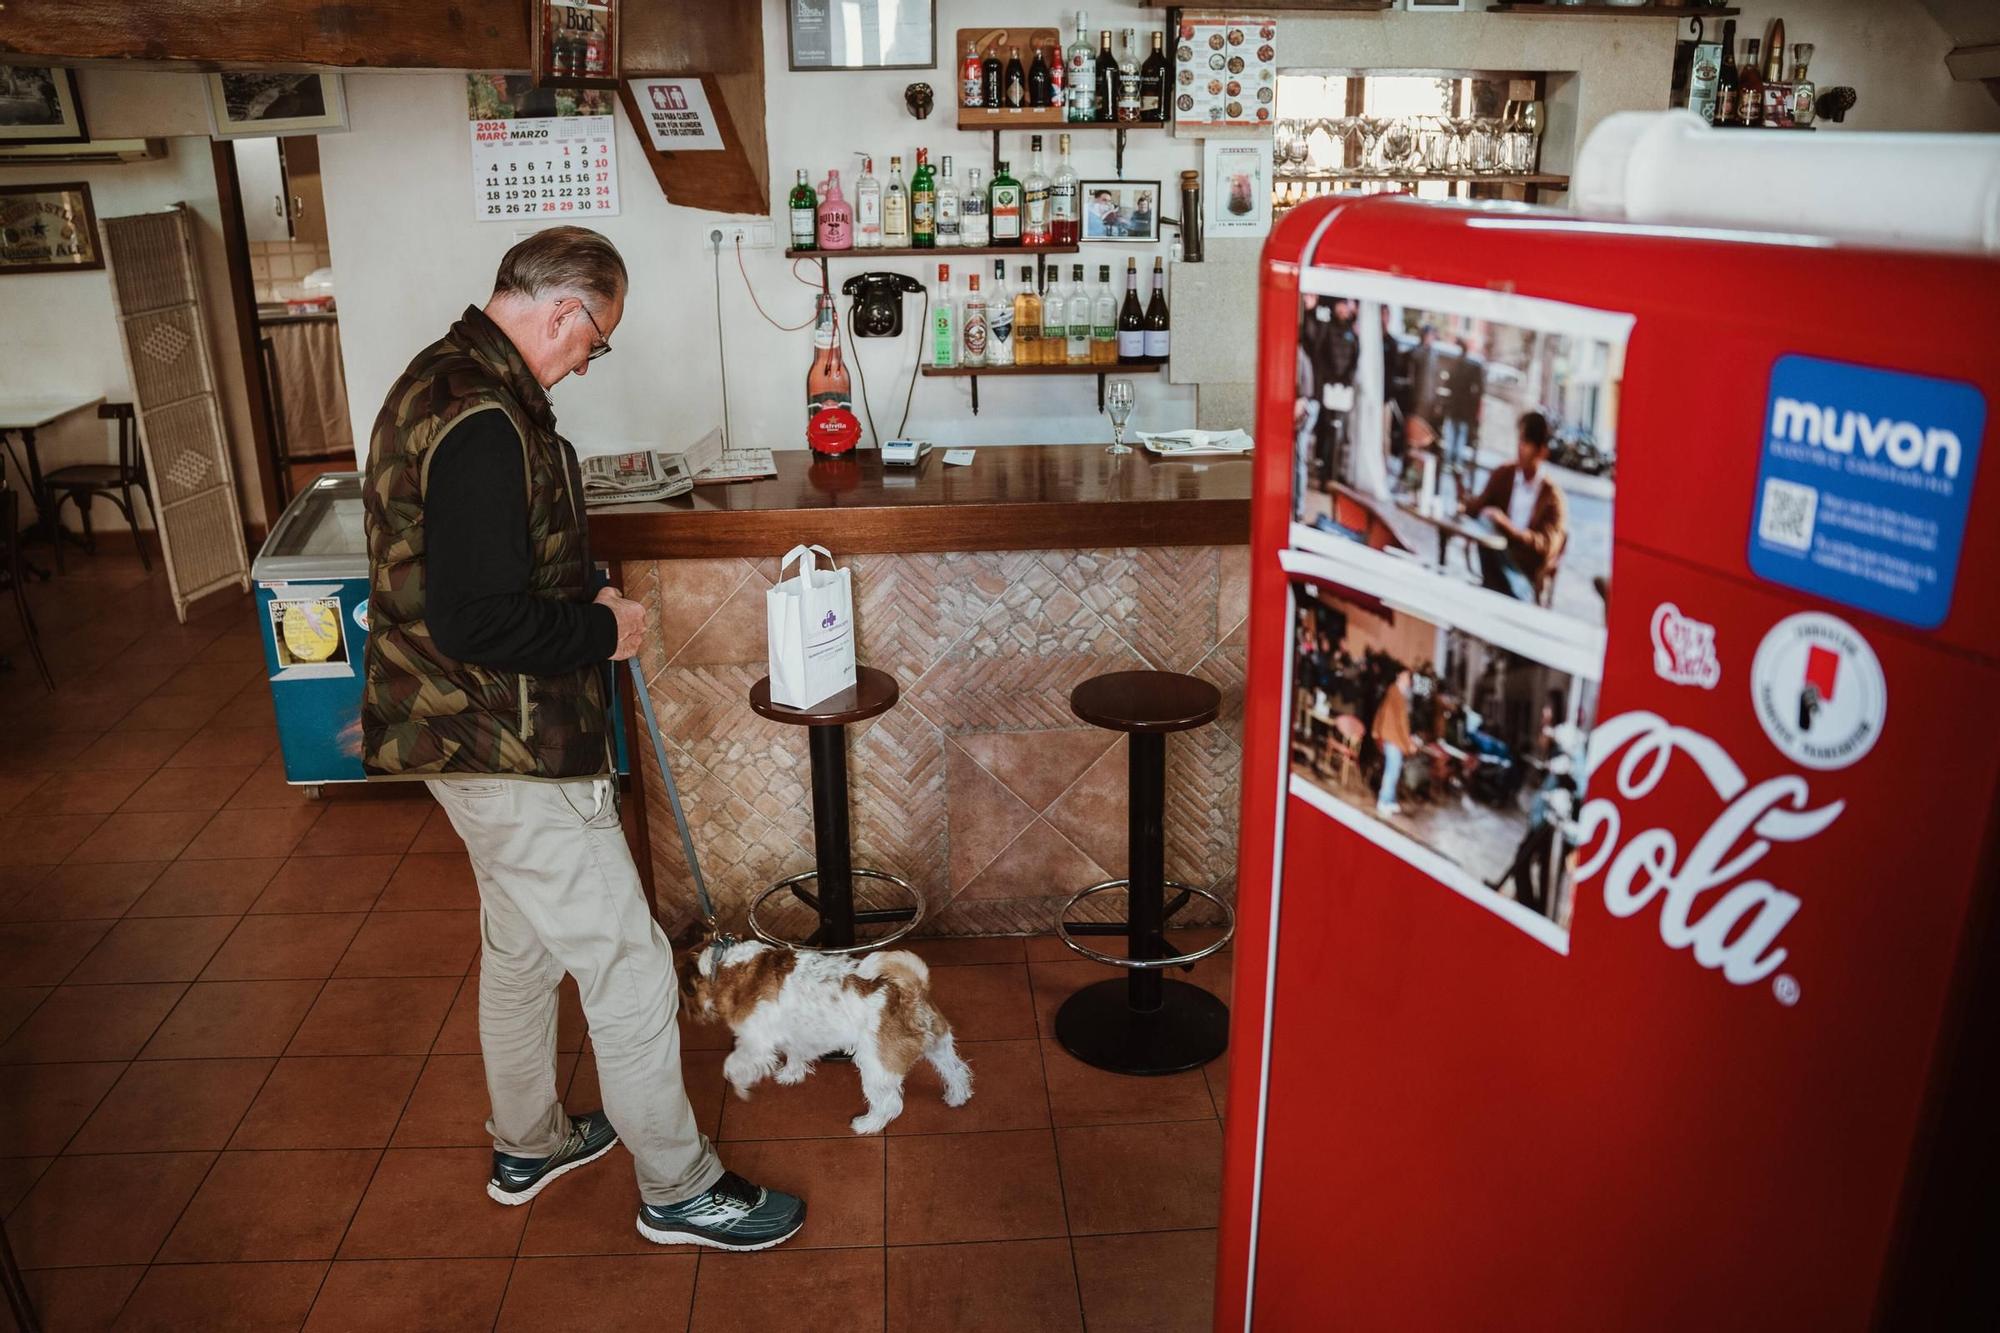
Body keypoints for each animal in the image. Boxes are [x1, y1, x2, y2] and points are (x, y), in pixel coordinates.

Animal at [672, 924, 976, 1128]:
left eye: (682, 991)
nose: (683, 1013)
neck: (724, 964)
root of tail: (911, 990)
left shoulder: (755, 1043)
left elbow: (732, 1065)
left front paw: (741, 1087)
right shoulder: (795, 1035)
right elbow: (794, 1055)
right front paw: (791, 1075)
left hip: (875, 1066)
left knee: (891, 1104)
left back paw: (867, 1125)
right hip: (939, 1046)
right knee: (957, 1072)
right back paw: (956, 1097)